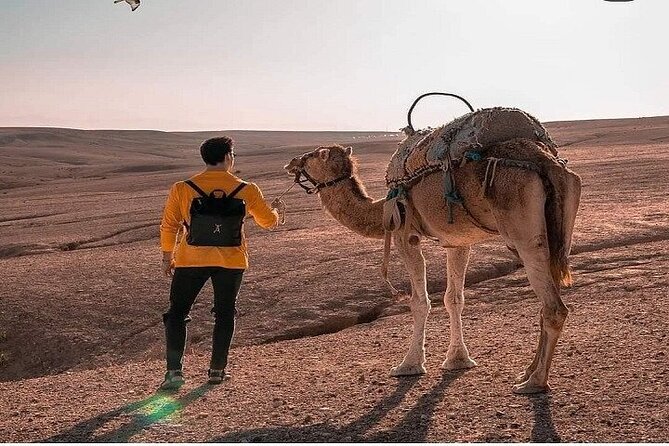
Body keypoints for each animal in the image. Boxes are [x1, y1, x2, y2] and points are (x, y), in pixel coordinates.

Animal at [284, 137, 581, 394]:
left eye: (313, 155)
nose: (292, 162)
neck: (379, 208)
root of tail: (549, 164)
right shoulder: (458, 240)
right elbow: (454, 299)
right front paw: (458, 359)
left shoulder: (404, 234)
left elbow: (420, 302)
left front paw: (409, 364)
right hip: (560, 235)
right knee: (548, 298)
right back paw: (527, 371)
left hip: (524, 234)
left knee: (554, 307)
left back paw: (535, 382)